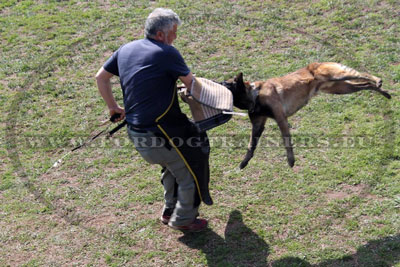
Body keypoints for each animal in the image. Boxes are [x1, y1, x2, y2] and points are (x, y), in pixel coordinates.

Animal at [222, 61, 390, 169]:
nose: (218, 84)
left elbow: (286, 141)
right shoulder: (258, 124)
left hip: (339, 77)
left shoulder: (281, 119)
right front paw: (244, 163)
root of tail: (319, 62)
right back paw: (383, 92)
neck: (255, 95)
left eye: (227, 84)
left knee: (363, 75)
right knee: (365, 85)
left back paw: (378, 80)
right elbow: (251, 145)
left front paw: (291, 160)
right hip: (341, 88)